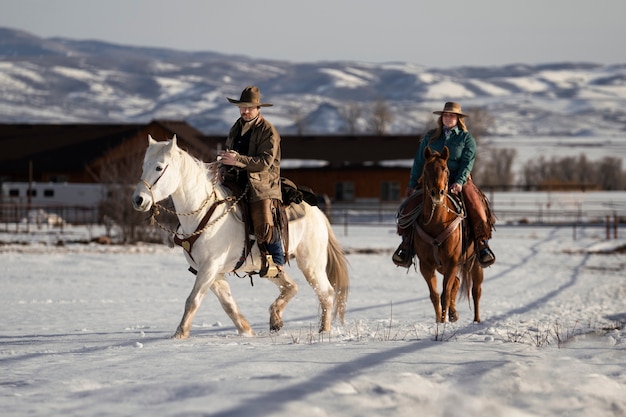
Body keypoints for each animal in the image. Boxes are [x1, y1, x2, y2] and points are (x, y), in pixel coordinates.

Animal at [130, 136, 348, 338]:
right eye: (143, 166)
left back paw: (323, 331)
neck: (202, 214)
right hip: (271, 267)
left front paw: (179, 335)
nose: (138, 200)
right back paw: (275, 319)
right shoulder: (211, 272)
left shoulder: (209, 268)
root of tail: (318, 214)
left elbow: (192, 300)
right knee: (291, 287)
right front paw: (246, 332)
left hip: (311, 263)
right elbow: (228, 304)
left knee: (326, 293)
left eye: (159, 167)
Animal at [412, 146, 480, 322]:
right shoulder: (426, 265)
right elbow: (435, 295)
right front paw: (438, 321)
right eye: (426, 169)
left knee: (476, 290)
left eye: (446, 169)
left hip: (474, 262)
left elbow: (445, 295)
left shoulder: (452, 263)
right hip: (442, 266)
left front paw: (443, 323)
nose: (438, 192)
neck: (437, 222)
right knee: (456, 282)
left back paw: (476, 320)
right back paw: (454, 314)